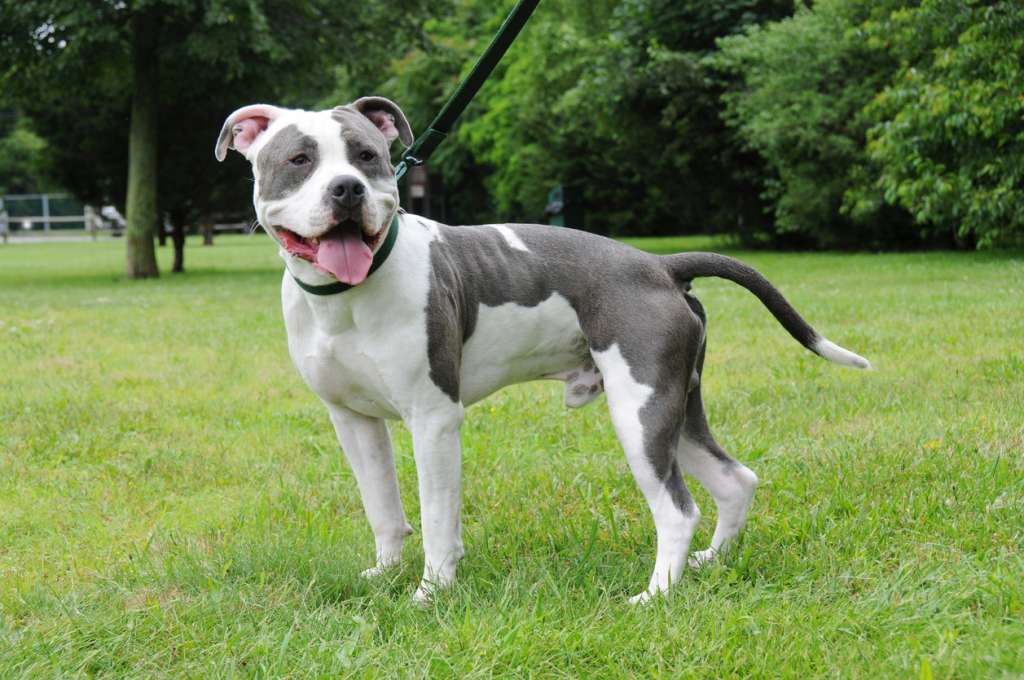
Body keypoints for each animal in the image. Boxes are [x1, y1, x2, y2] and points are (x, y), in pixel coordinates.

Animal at [216, 96, 872, 606]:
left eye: (367, 157)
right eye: (300, 160)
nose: (348, 188)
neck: (346, 295)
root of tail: (660, 265)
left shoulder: (433, 420)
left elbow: (436, 516)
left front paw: (431, 592)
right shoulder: (353, 421)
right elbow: (383, 506)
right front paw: (384, 573)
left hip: (640, 411)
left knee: (677, 509)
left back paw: (656, 594)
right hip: (674, 405)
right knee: (735, 480)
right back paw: (709, 565)